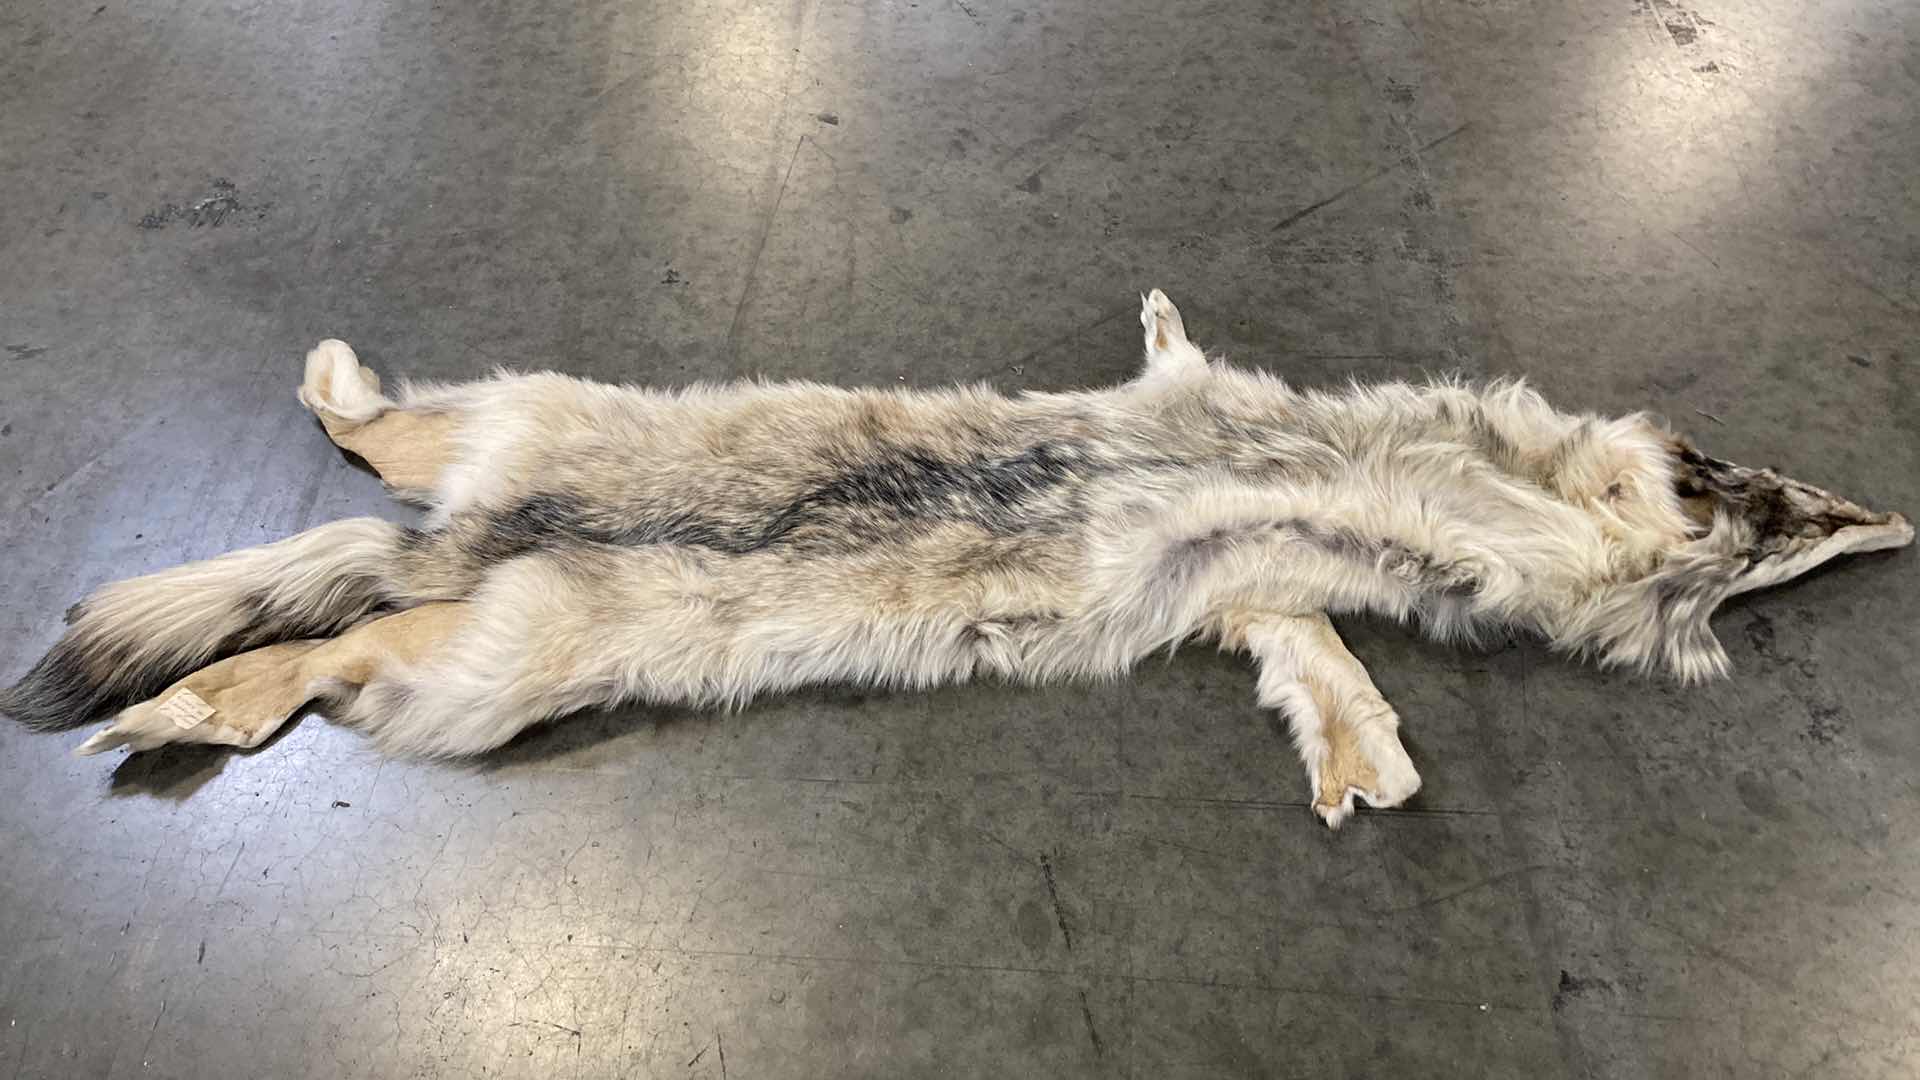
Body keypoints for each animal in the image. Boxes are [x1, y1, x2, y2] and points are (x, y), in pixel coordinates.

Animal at [1, 291, 1908, 826]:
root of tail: (480, 536)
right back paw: (169, 714)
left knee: (354, 541)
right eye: (1767, 513)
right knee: (317, 648)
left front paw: (1363, 766)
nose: (1884, 516)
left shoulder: (1257, 590)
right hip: (486, 667)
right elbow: (1185, 364)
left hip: (510, 481)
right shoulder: (1251, 471)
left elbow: (1317, 668)